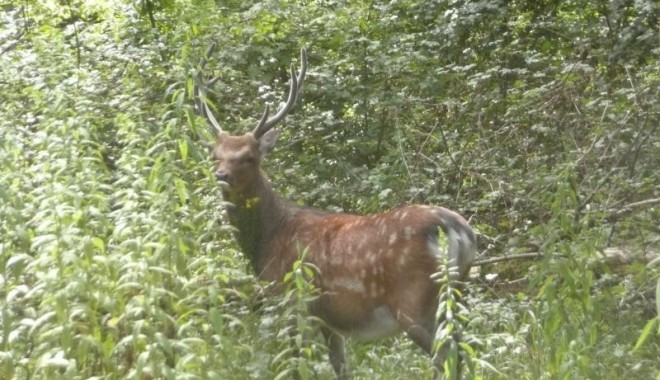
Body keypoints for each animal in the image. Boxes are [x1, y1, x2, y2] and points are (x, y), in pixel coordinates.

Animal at [193, 46, 476, 378]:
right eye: (215, 155)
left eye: (248, 157)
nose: (221, 175)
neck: (268, 239)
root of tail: (457, 228)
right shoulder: (330, 320)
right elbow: (340, 366)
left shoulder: (291, 299)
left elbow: (294, 364)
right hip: (458, 291)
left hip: (416, 300)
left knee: (444, 356)